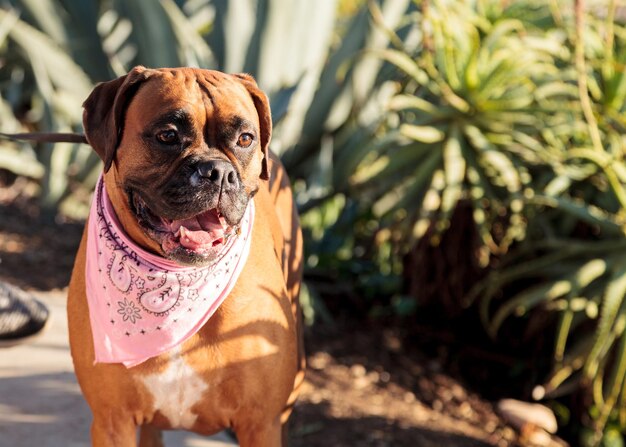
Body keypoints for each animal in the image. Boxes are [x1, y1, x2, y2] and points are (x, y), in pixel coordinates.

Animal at [66, 67, 304, 447]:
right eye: (168, 135)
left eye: (245, 139)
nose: (217, 172)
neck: (176, 280)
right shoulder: (112, 422)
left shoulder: (261, 423)